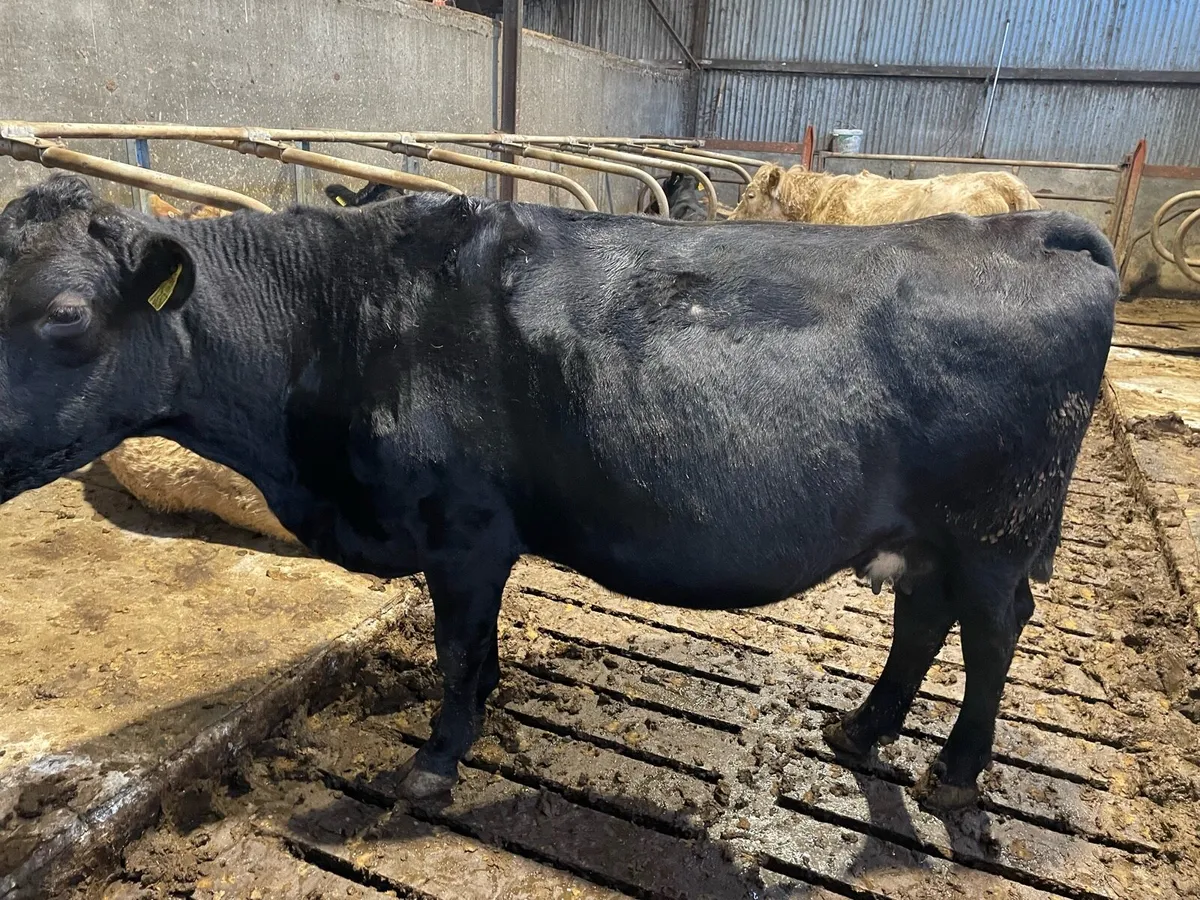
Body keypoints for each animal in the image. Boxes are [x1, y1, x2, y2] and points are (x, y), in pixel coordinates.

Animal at [0, 174, 1118, 813]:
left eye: (66, 312)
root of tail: (1031, 230)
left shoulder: (463, 531)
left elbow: (458, 654)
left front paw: (434, 762)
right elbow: (477, 651)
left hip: (997, 529)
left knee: (992, 632)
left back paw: (956, 776)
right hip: (931, 532)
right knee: (924, 617)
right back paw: (862, 729)